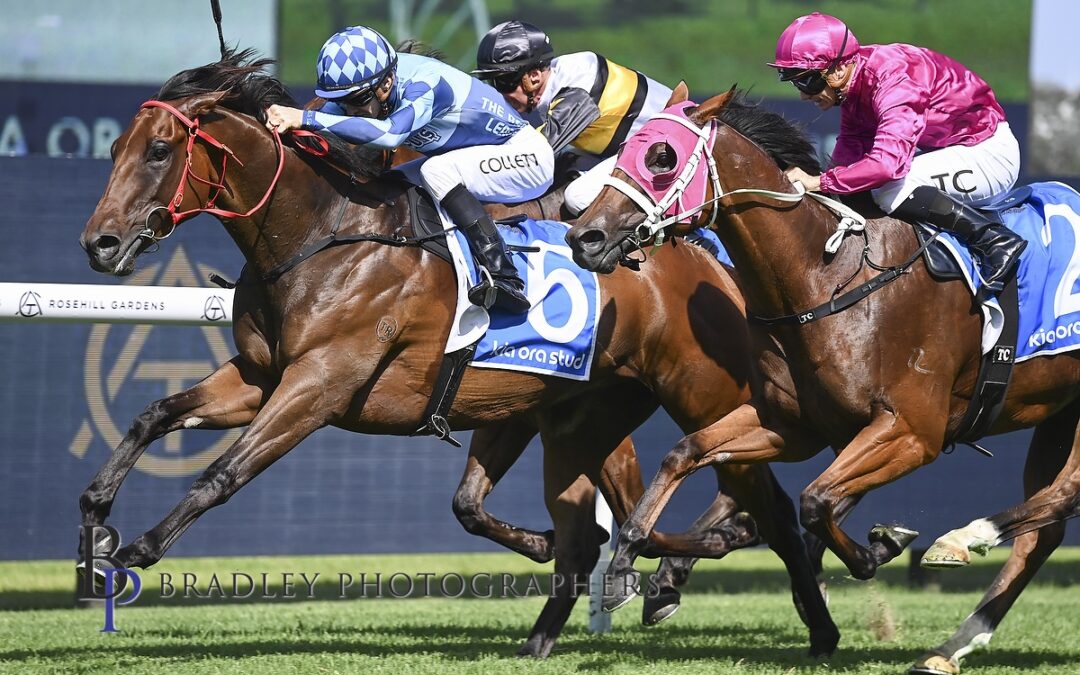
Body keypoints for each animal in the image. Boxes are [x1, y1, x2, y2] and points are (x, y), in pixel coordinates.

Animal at [78, 54, 833, 656]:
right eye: (115, 147)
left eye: (160, 150)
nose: (100, 244)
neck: (323, 235)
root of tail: (703, 255)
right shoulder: (260, 377)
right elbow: (154, 414)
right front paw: (95, 518)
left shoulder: (320, 383)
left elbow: (222, 473)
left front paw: (140, 546)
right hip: (577, 415)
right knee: (606, 523)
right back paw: (591, 602)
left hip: (701, 393)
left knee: (764, 504)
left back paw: (805, 616)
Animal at [565, 85, 1080, 673]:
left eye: (661, 158)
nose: (585, 237)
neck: (827, 278)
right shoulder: (789, 426)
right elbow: (686, 452)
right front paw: (625, 562)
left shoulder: (912, 431)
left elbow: (816, 501)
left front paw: (881, 548)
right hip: (1057, 413)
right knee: (1046, 528)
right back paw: (951, 645)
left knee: (1064, 495)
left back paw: (962, 540)